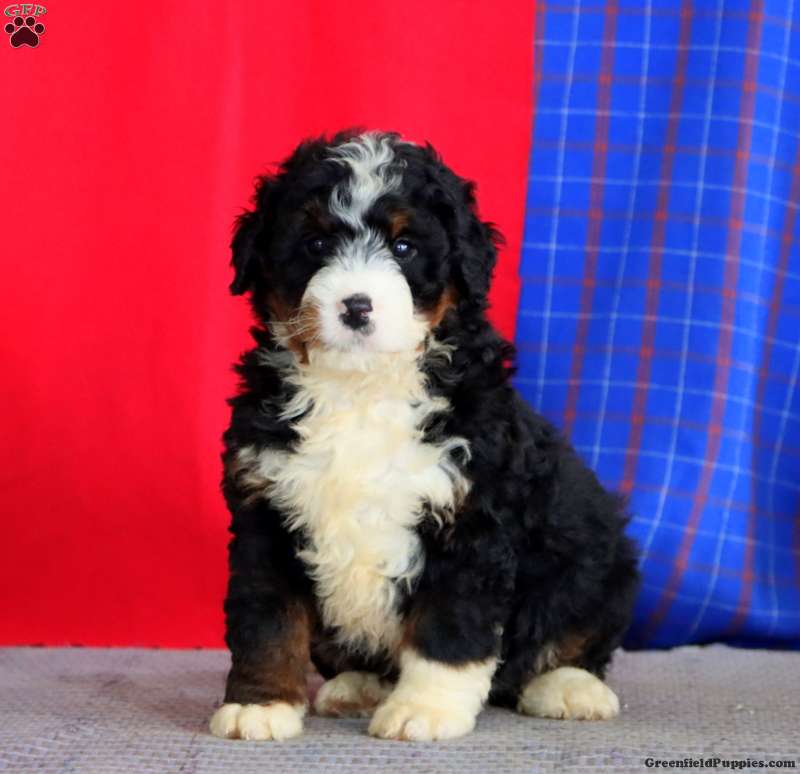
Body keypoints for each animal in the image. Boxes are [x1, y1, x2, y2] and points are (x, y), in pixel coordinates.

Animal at [209, 131, 640, 742]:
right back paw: (357, 686)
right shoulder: (265, 509)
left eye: (405, 246)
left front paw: (425, 709)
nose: (356, 306)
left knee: (575, 634)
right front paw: (261, 704)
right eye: (315, 243)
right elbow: (267, 619)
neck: (361, 387)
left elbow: (448, 627)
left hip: (598, 556)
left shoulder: (470, 515)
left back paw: (568, 688)